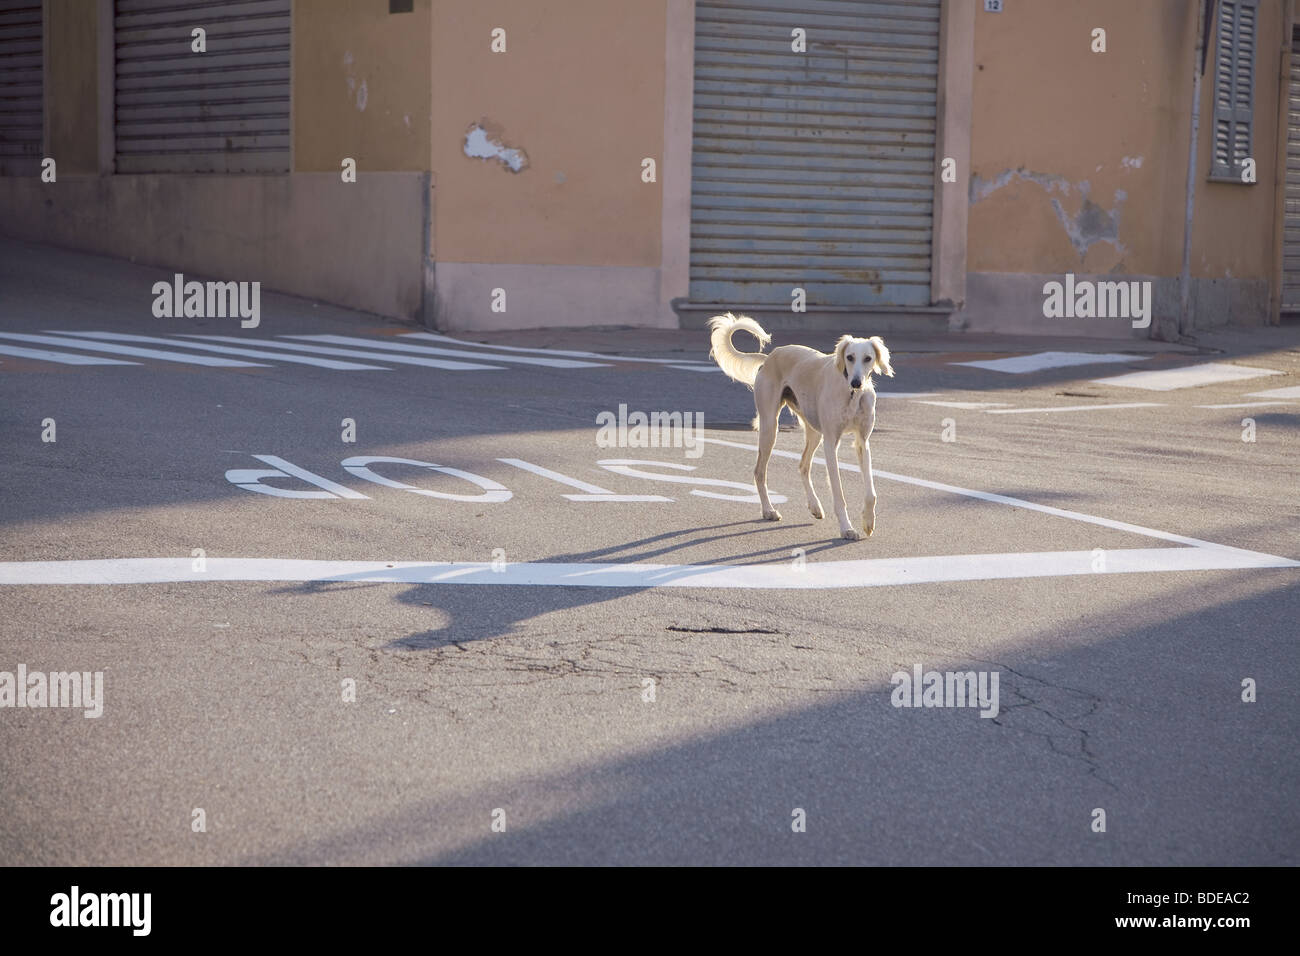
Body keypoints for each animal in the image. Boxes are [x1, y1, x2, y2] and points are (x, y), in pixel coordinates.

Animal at [712, 312, 894, 538]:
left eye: (868, 358)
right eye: (850, 357)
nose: (856, 383)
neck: (851, 396)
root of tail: (770, 357)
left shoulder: (862, 442)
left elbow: (871, 492)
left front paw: (868, 521)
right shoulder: (831, 443)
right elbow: (838, 492)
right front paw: (846, 528)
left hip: (814, 432)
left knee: (803, 465)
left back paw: (814, 506)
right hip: (770, 427)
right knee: (759, 472)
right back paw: (769, 510)